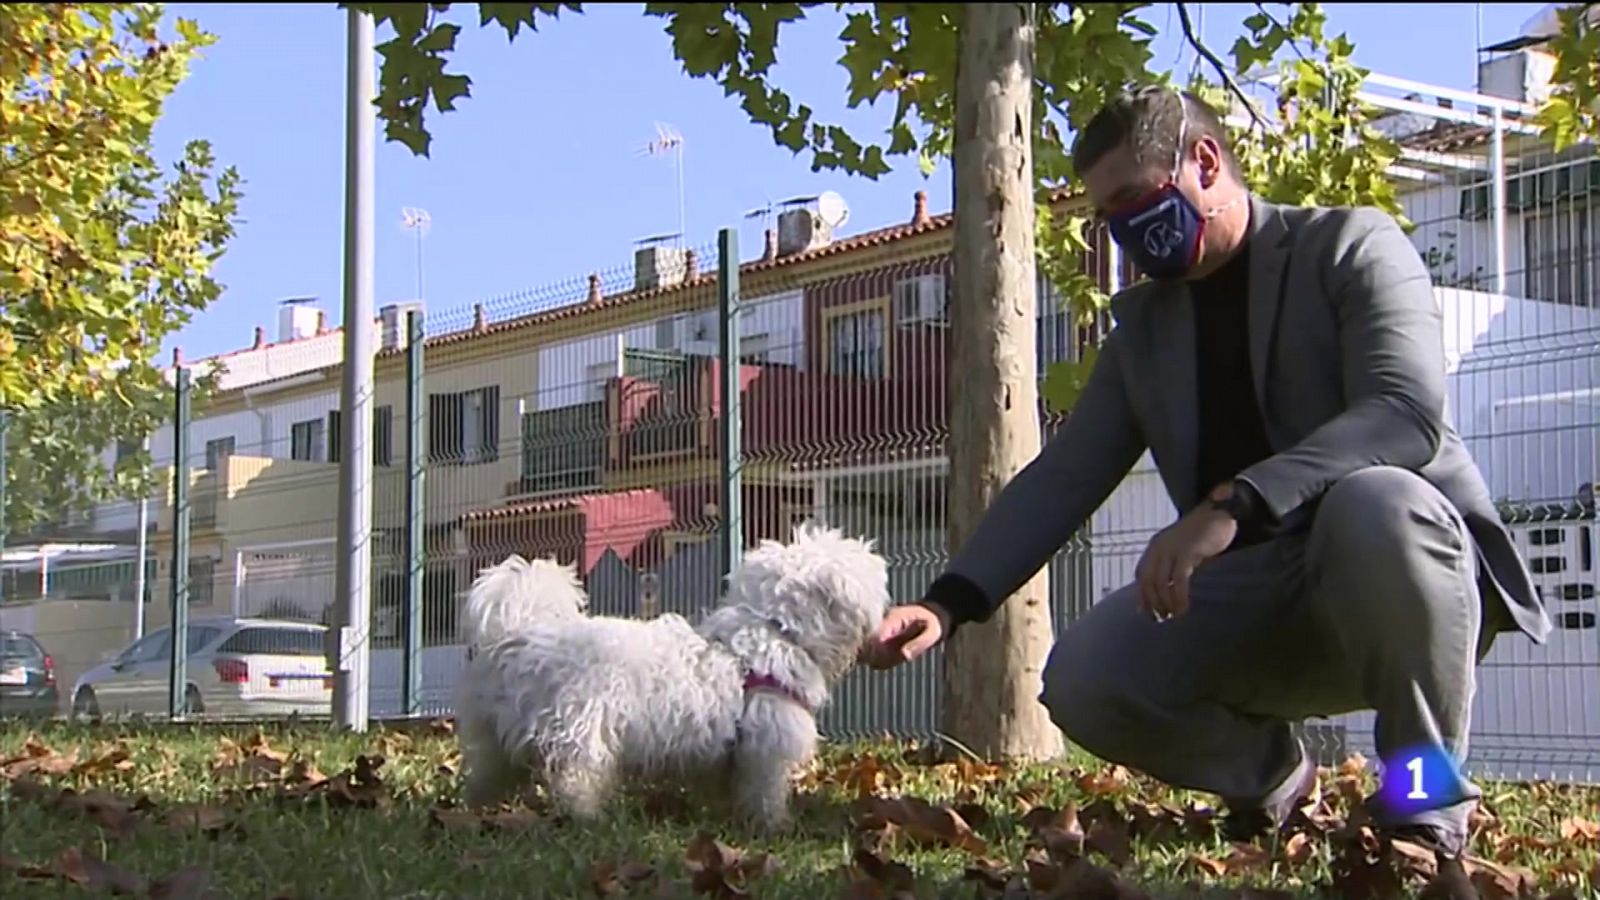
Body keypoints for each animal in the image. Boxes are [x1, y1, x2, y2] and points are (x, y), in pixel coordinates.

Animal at [457, 522, 896, 832]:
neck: (774, 630)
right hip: (580, 734)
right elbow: (765, 792)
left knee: (486, 773)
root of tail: (521, 633)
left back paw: (480, 811)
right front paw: (773, 826)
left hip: (494, 733)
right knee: (575, 779)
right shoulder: (767, 745)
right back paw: (589, 820)